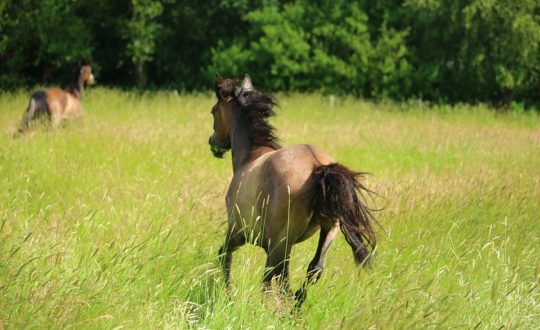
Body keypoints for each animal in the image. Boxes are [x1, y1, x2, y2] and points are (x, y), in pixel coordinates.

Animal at [209, 75, 378, 306]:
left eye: (213, 111)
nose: (213, 143)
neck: (249, 158)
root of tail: (318, 166)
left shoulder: (237, 231)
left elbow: (224, 256)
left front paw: (228, 295)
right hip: (329, 231)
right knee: (311, 270)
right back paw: (295, 307)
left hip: (280, 244)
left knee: (276, 279)